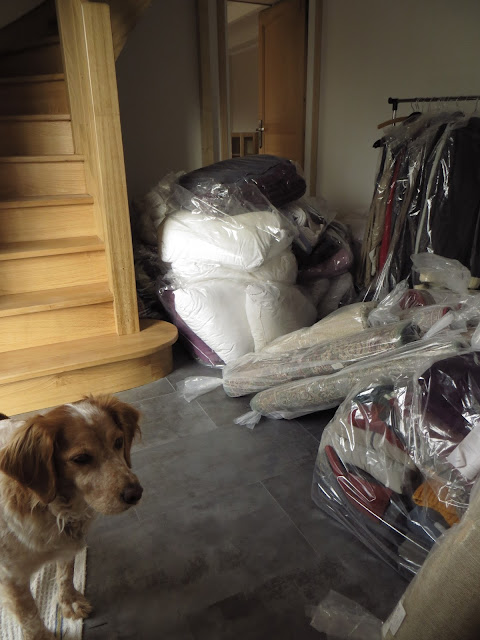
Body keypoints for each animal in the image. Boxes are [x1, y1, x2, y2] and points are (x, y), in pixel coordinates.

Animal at [0, 395, 143, 640]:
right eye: (81, 458)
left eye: (118, 441)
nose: (135, 493)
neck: (50, 507)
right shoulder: (11, 578)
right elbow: (29, 617)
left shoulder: (66, 547)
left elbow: (65, 575)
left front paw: (70, 603)